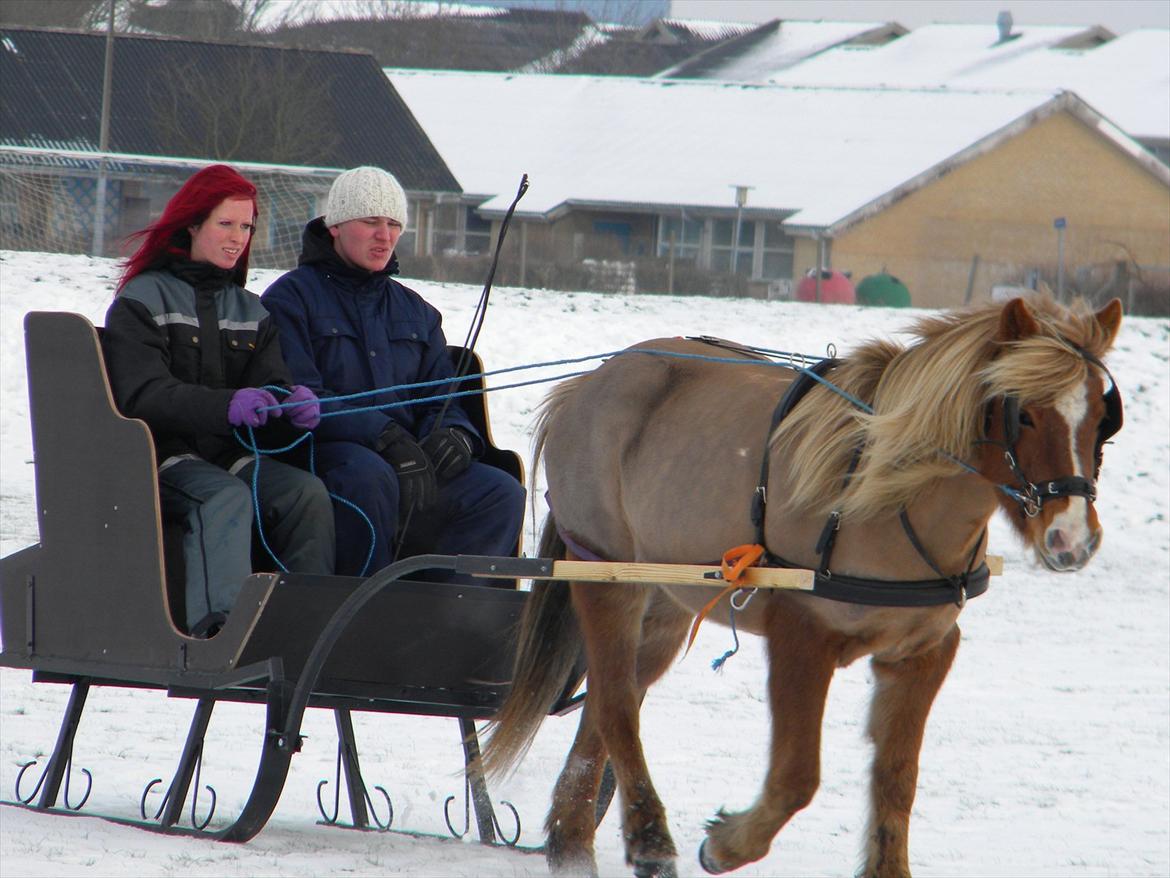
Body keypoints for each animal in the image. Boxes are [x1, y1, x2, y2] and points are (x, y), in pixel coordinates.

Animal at [482, 297, 1123, 878]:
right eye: (1025, 415)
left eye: (1101, 418)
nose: (1073, 539)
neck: (890, 498)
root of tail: (591, 382)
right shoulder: (802, 636)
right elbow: (796, 777)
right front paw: (728, 844)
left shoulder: (921, 653)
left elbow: (897, 778)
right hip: (606, 577)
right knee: (617, 705)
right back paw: (648, 839)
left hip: (665, 597)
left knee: (608, 705)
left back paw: (572, 842)